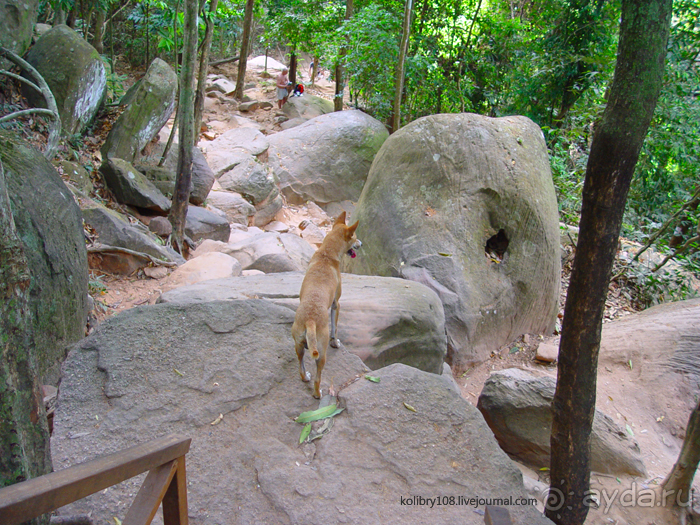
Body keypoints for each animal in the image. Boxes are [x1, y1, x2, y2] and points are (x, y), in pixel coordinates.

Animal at [292, 211, 364, 396]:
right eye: (355, 238)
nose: (361, 244)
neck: (326, 254)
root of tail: (310, 320)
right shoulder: (335, 304)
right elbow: (335, 327)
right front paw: (335, 342)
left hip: (299, 346)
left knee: (301, 368)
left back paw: (305, 377)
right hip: (321, 353)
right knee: (318, 378)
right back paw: (319, 394)